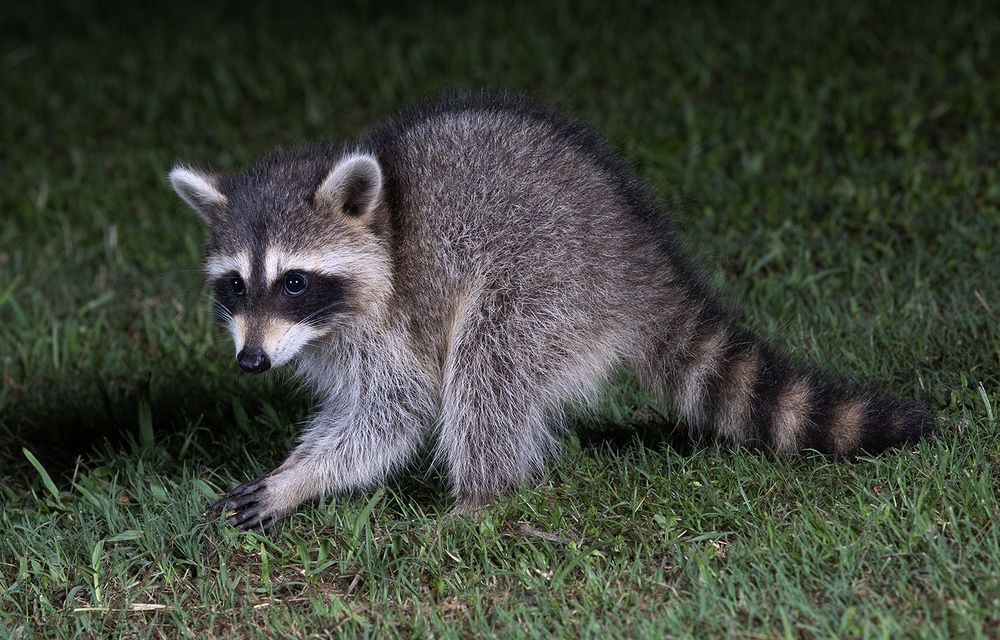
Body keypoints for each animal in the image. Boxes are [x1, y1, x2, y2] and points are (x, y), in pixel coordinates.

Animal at [169, 93, 933, 530]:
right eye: (235, 286)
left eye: (294, 282)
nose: (251, 362)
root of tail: (641, 259)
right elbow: (351, 410)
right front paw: (294, 468)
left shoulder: (394, 322)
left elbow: (394, 414)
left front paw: (303, 481)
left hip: (550, 279)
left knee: (489, 365)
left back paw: (482, 496)